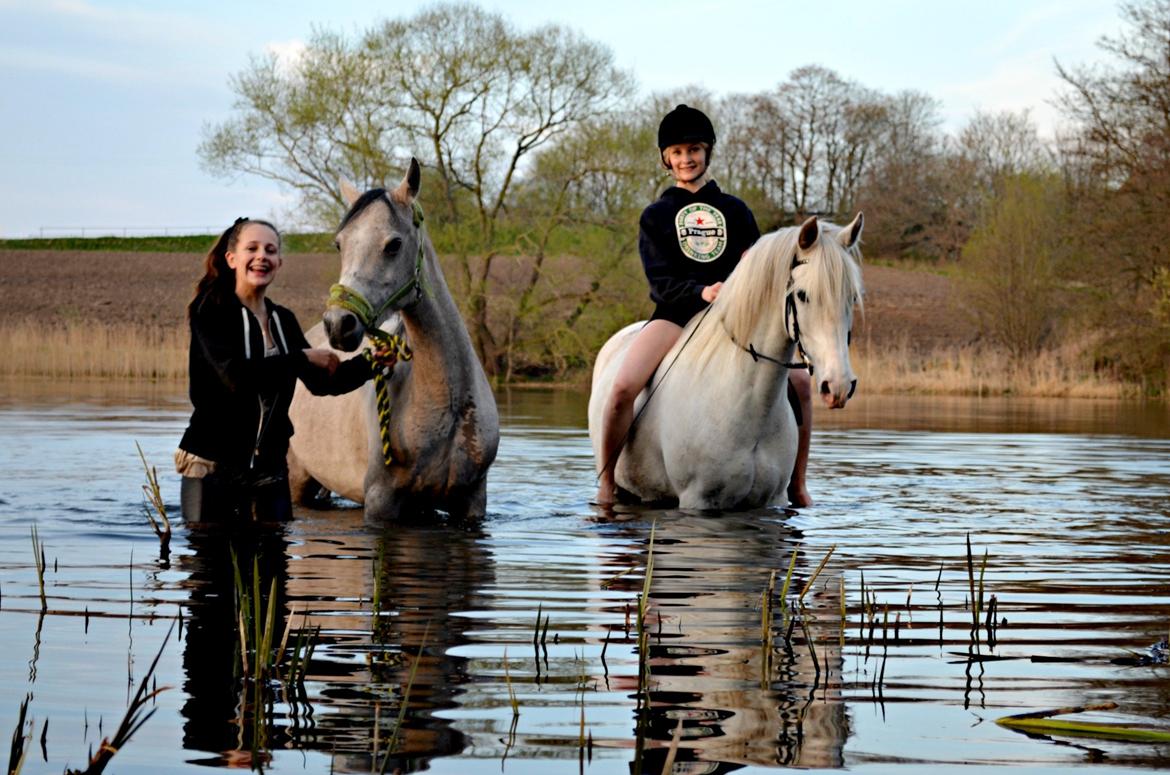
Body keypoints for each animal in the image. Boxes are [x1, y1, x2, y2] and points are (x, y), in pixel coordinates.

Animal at [589, 215, 865, 512]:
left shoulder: (770, 500)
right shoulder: (697, 501)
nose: (838, 385)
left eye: (852, 297)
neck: (749, 406)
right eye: (802, 295)